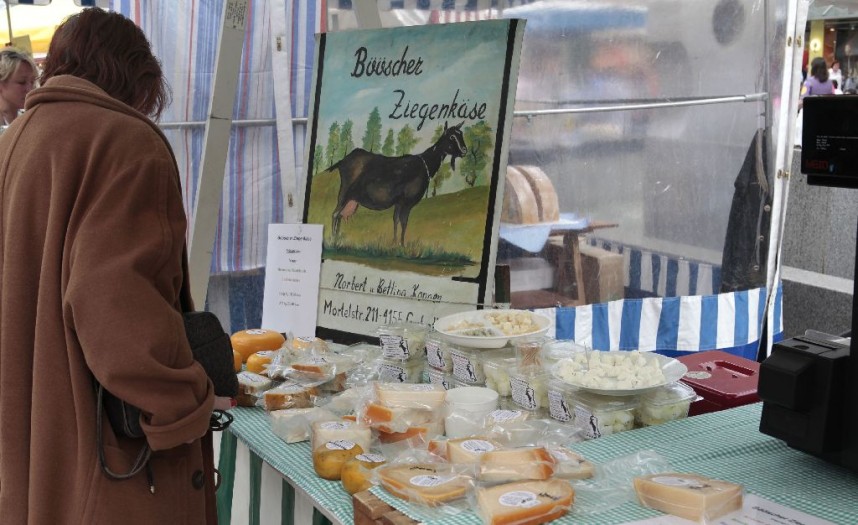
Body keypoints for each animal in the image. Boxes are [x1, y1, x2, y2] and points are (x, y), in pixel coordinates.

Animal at [328, 122, 467, 245]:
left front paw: (394, 243)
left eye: (461, 134)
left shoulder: (399, 201)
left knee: (339, 215)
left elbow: (396, 220)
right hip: (344, 192)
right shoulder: (407, 201)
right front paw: (402, 245)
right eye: (451, 136)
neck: (425, 164)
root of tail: (343, 160)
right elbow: (404, 221)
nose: (464, 150)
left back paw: (337, 239)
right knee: (335, 214)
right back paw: (333, 240)